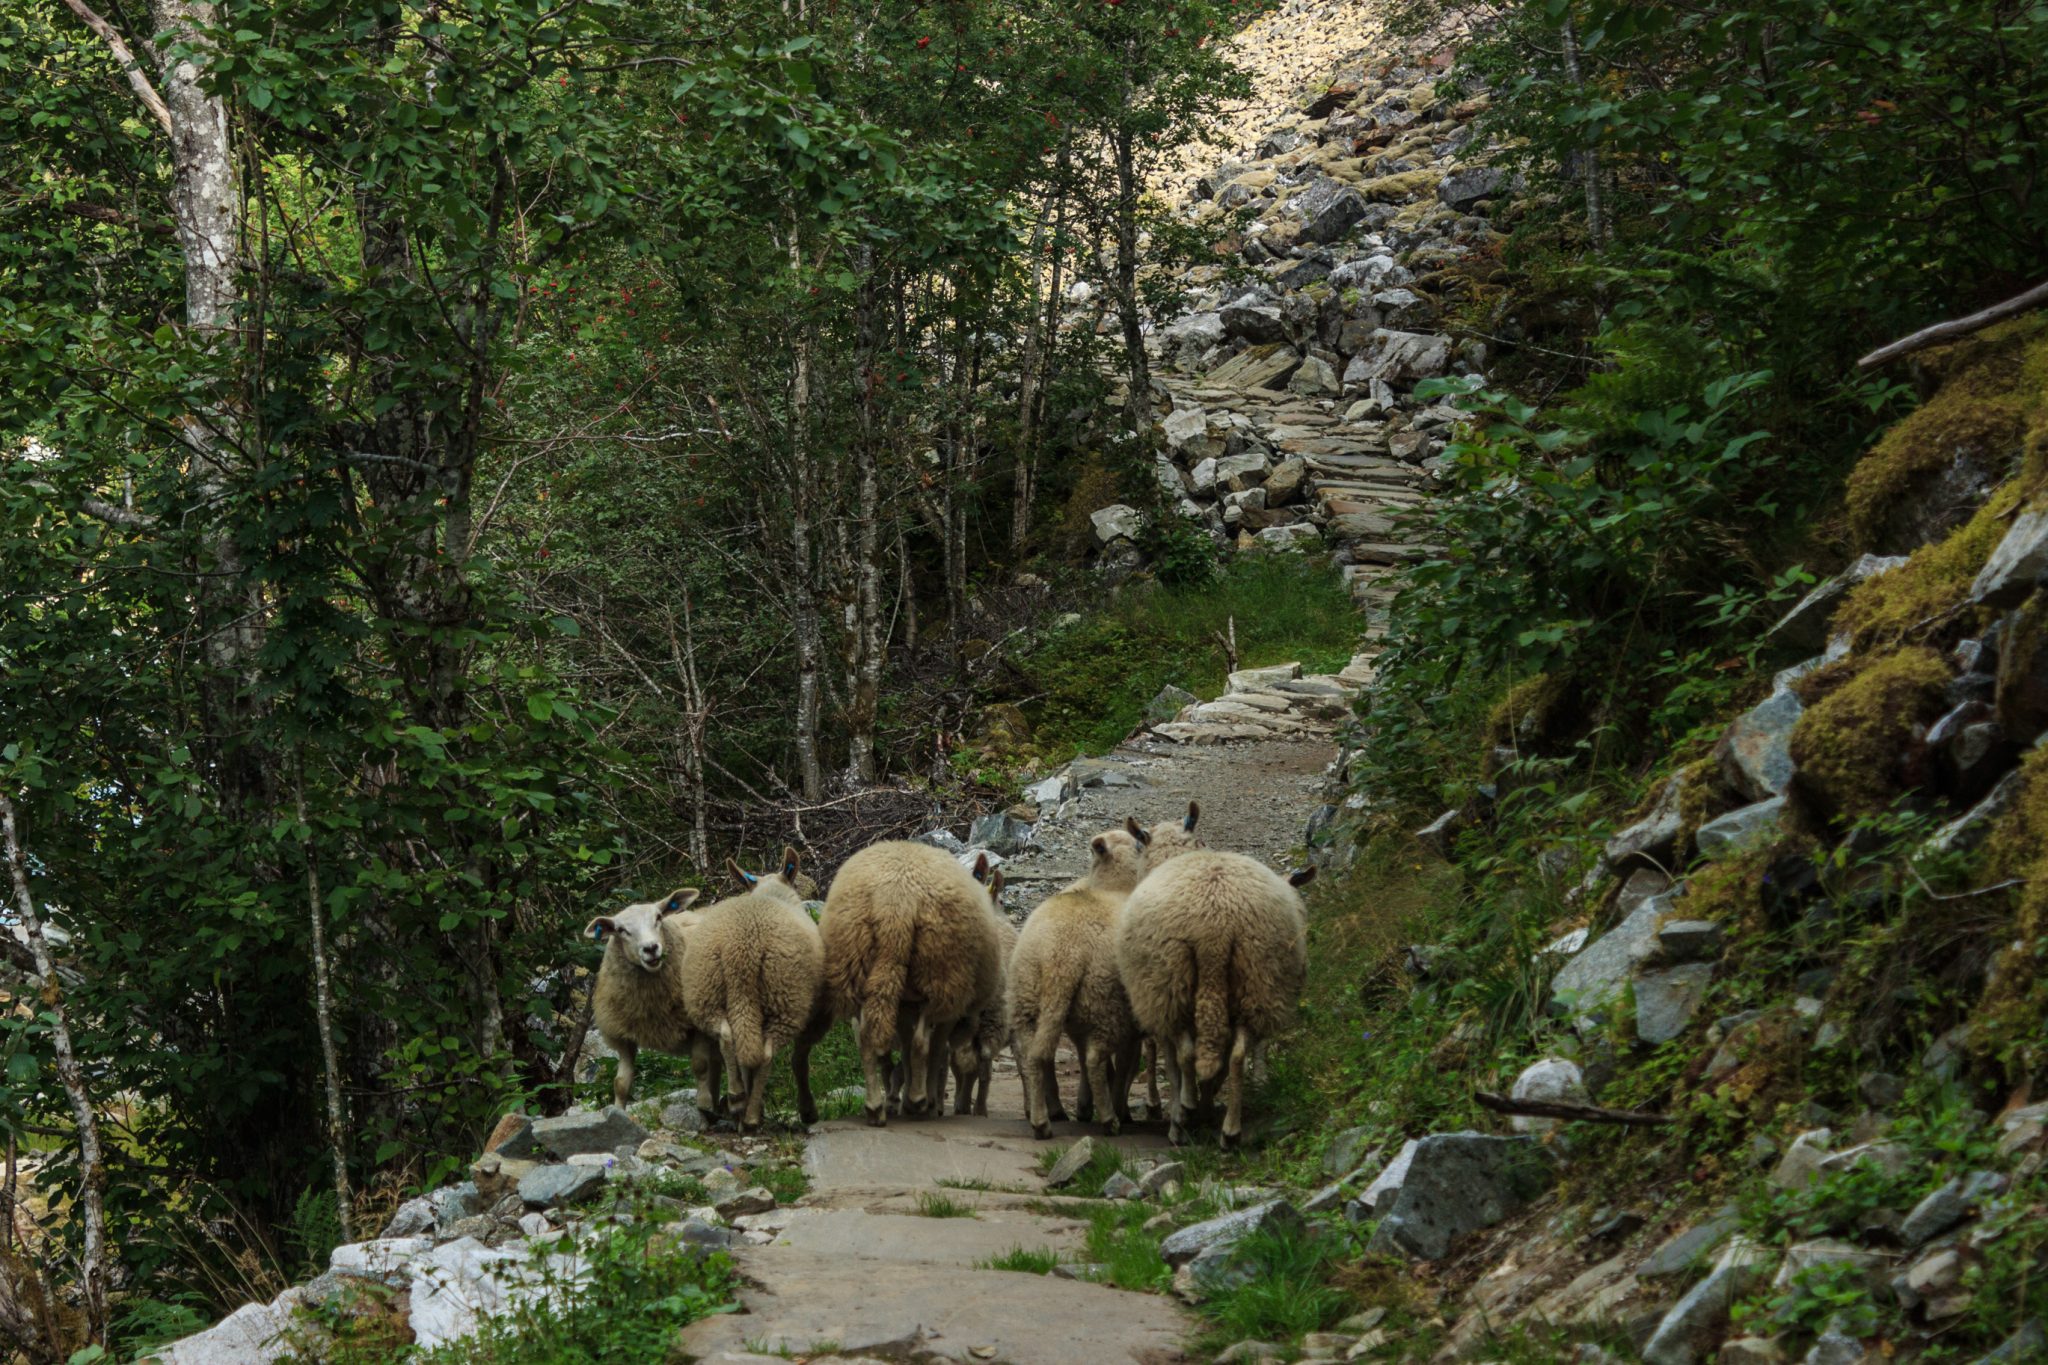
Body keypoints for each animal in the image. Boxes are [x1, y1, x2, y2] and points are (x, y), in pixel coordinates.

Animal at [585, 887, 715, 1113]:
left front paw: (705, 1107)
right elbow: (621, 1083)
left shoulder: (699, 1025)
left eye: (659, 917)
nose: (651, 948)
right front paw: (618, 1112)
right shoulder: (623, 1034)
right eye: (621, 930)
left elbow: (700, 1066)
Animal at [679, 845, 827, 1133]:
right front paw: (806, 1111)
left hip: (710, 995)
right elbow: (797, 1061)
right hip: (785, 999)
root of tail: (742, 948)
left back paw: (738, 1101)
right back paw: (749, 1115)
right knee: (766, 1054)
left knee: (729, 1038)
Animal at [820, 841, 1004, 1125]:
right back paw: (919, 1102)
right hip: (941, 976)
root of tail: (896, 901)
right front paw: (927, 1101)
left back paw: (876, 1108)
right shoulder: (947, 1006)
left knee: (867, 1040)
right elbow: (934, 1051)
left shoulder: (907, 1003)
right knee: (921, 1043)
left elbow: (906, 1050)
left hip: (859, 968)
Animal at [1008, 821, 1153, 1139]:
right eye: (1138, 843)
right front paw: (1120, 1109)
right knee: (1095, 1059)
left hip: (1032, 995)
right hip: (1106, 1001)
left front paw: (1087, 1107)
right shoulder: (1130, 1023)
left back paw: (1043, 1118)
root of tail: (1061, 955)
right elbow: (1126, 1066)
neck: (1115, 887)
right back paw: (1110, 1119)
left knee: (1033, 1056)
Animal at [1115, 849, 1313, 1149]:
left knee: (1187, 1054)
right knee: (1237, 1055)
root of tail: (1215, 928)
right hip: (1255, 979)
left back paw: (1188, 1109)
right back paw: (1229, 1131)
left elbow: (1174, 1068)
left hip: (1170, 985)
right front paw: (1203, 1110)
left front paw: (1183, 1118)